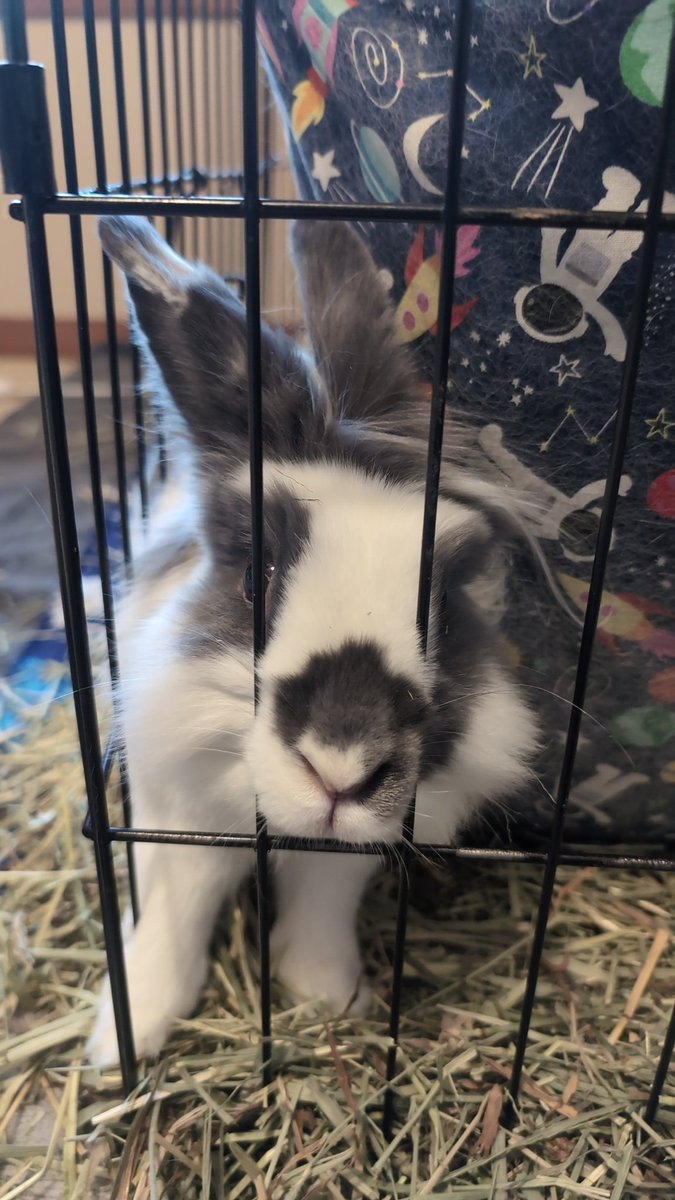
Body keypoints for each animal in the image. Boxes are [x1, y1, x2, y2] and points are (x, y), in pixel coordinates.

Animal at [86, 216, 538, 1067]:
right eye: (253, 575)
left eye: (442, 609)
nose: (342, 767)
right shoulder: (186, 808)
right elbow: (181, 902)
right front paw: (131, 1031)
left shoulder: (345, 856)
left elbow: (324, 903)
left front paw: (330, 997)